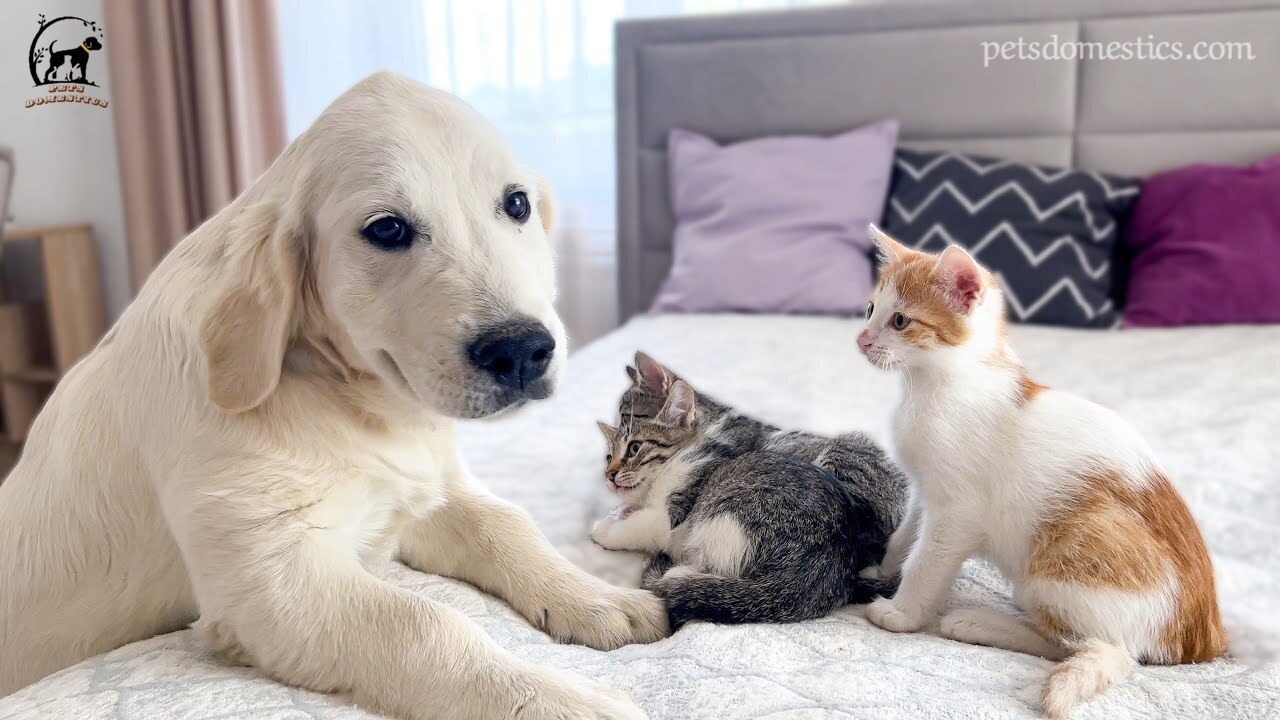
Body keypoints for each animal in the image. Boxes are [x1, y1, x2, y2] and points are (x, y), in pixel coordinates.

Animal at [0, 68, 665, 717]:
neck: (341, 395)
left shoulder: (421, 494)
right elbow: (424, 622)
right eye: (387, 229)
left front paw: (595, 596)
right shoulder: (277, 580)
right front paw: (554, 696)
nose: (522, 350)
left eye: (518, 203)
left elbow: (508, 525)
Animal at [593, 379, 896, 625]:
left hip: (725, 516)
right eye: (608, 457)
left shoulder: (675, 510)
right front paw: (621, 511)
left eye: (634, 447)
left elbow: (641, 526)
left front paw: (604, 530)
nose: (610, 474)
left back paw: (681, 574)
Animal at [855, 225, 1223, 717]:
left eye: (900, 321)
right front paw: (882, 570)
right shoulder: (925, 490)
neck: (938, 384)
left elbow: (927, 560)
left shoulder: (959, 513)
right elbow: (904, 537)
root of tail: (1199, 644)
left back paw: (975, 623)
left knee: (1086, 645)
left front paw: (901, 612)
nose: (862, 340)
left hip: (1060, 564)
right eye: (871, 310)